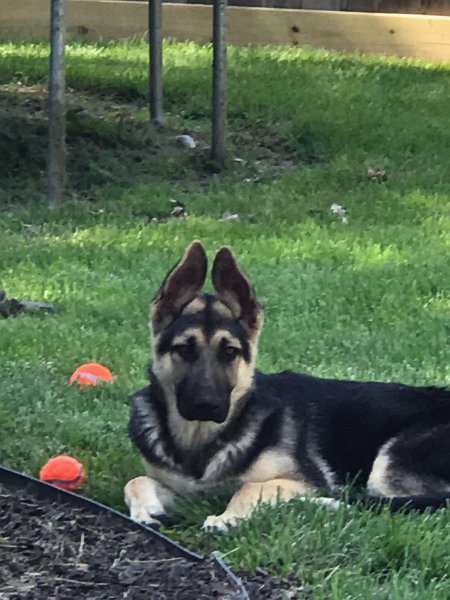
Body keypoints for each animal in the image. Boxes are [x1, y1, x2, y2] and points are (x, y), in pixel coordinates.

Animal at [125, 239, 450, 528]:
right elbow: (136, 480)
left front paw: (226, 518)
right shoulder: (182, 488)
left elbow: (251, 487)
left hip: (386, 467)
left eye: (229, 352)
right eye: (183, 349)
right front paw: (146, 511)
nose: (206, 405)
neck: (201, 439)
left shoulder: (302, 478)